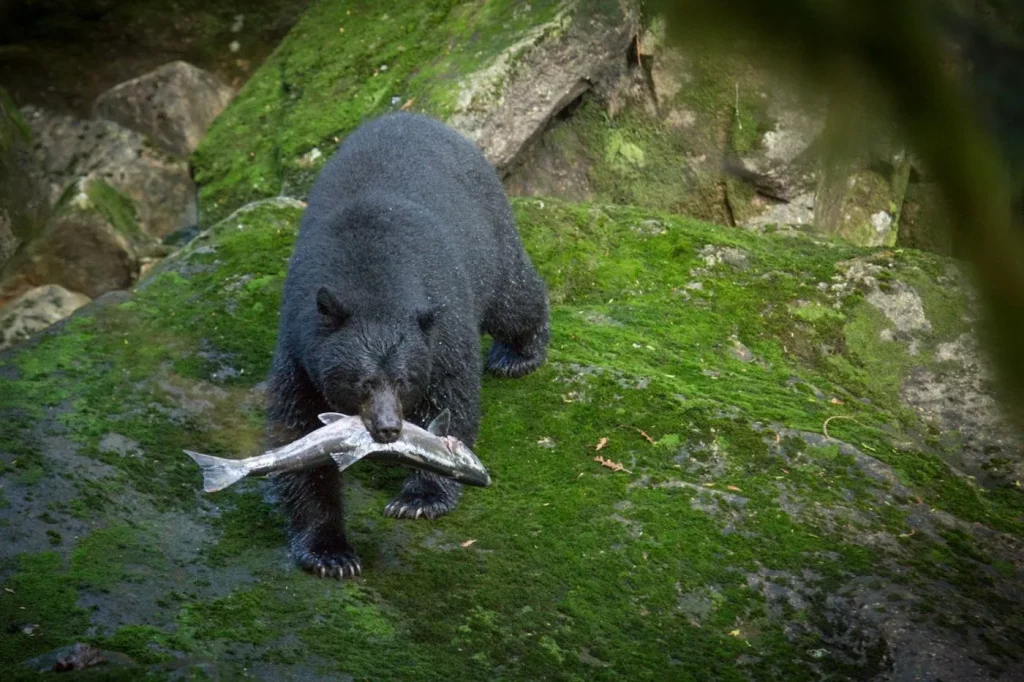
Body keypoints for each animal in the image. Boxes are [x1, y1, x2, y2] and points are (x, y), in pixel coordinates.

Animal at [265, 111, 550, 579]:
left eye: (402, 381)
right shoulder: (300, 347)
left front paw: (420, 498)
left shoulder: (443, 326)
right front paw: (329, 551)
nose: (388, 429)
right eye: (362, 383)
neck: (373, 283)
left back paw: (519, 354)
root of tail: (421, 117)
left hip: (488, 233)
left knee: (514, 297)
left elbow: (451, 400)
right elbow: (298, 434)